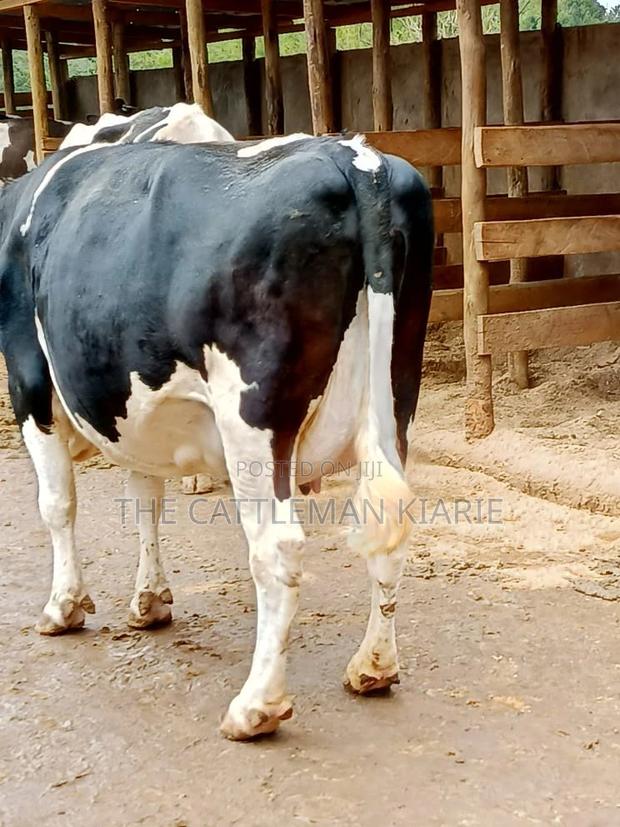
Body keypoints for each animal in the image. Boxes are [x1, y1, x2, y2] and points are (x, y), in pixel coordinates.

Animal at [0, 133, 433, 739]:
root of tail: (354, 157)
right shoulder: (131, 413)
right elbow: (145, 500)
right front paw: (150, 600)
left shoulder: (28, 379)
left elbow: (57, 504)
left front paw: (64, 607)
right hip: (396, 398)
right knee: (388, 527)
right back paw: (373, 668)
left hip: (253, 417)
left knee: (278, 548)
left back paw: (257, 707)